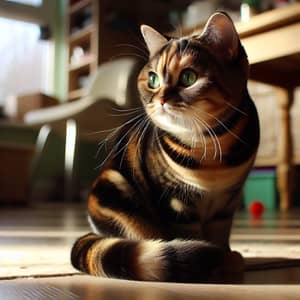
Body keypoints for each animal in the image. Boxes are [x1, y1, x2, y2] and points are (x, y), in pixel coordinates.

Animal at [71, 12, 260, 284]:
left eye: (189, 77)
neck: (209, 144)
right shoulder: (175, 201)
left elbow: (220, 233)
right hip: (118, 193)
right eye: (153, 79)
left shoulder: (228, 201)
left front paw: (226, 256)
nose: (160, 100)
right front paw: (213, 261)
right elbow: (192, 234)